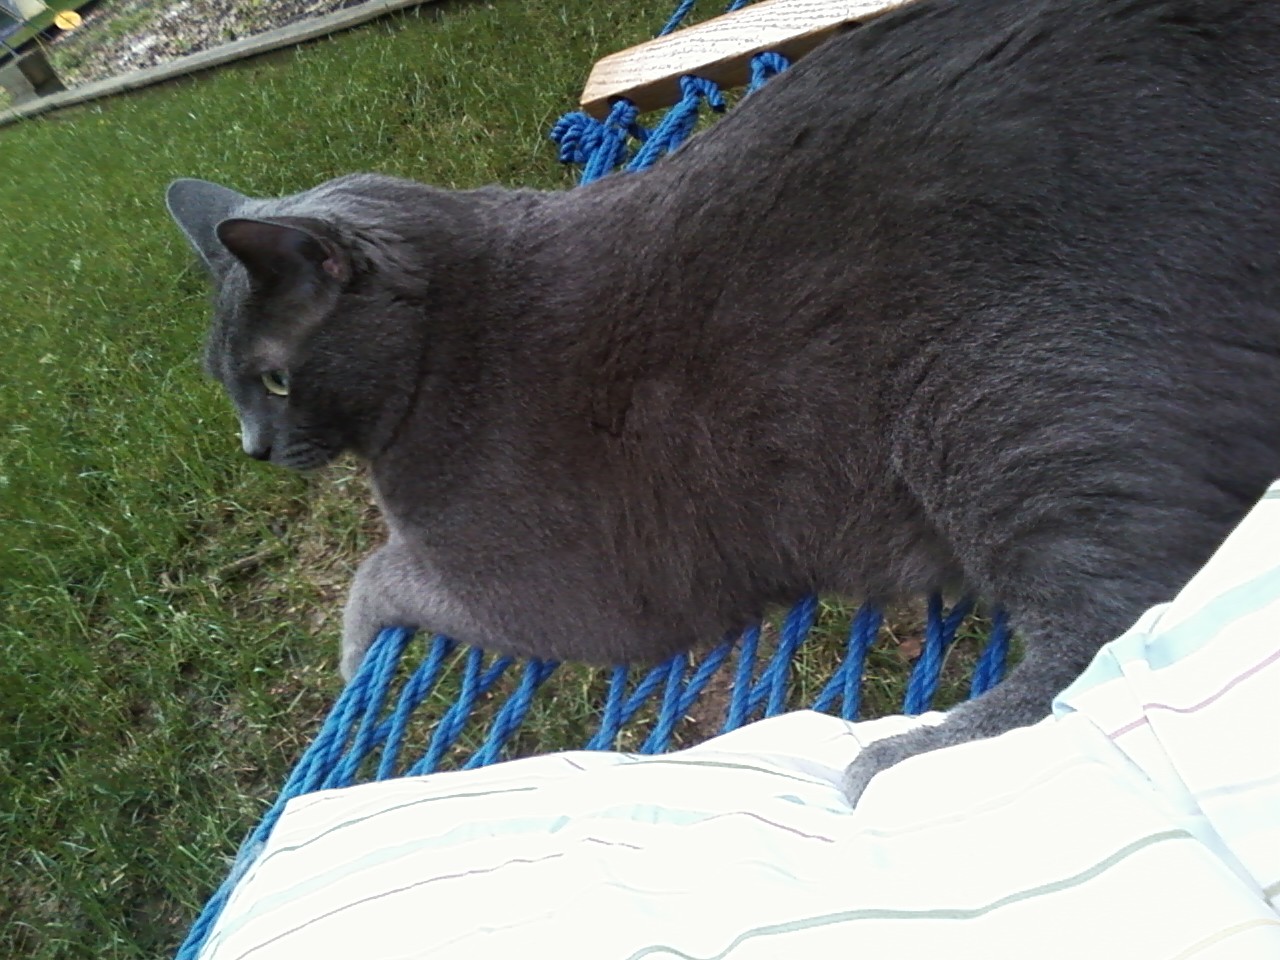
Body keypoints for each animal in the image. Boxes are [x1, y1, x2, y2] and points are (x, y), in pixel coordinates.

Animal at [165, 0, 1280, 805]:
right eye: (225, 385)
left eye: (272, 378)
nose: (252, 447)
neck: (445, 336)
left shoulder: (540, 586)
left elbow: (377, 569)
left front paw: (353, 655)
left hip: (1001, 392)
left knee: (1126, 618)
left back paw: (894, 761)